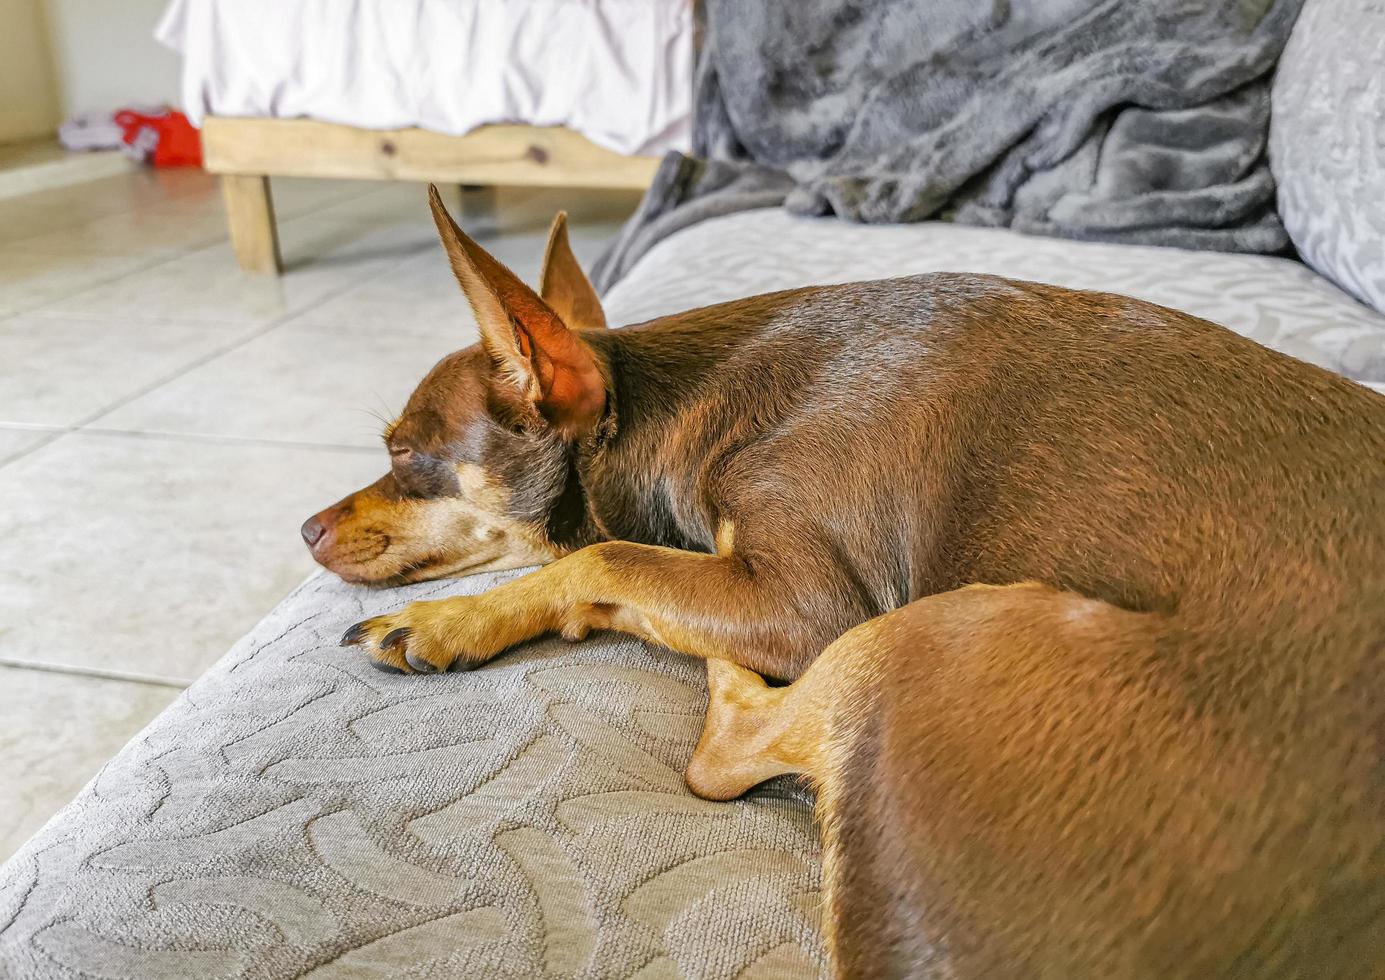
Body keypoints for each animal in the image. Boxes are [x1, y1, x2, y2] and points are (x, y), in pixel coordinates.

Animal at [306, 188, 1385, 974]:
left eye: (403, 457)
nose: (307, 526)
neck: (659, 408)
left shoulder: (802, 602)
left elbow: (600, 555)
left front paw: (448, 620)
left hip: (930, 633)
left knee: (720, 755)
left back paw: (726, 678)